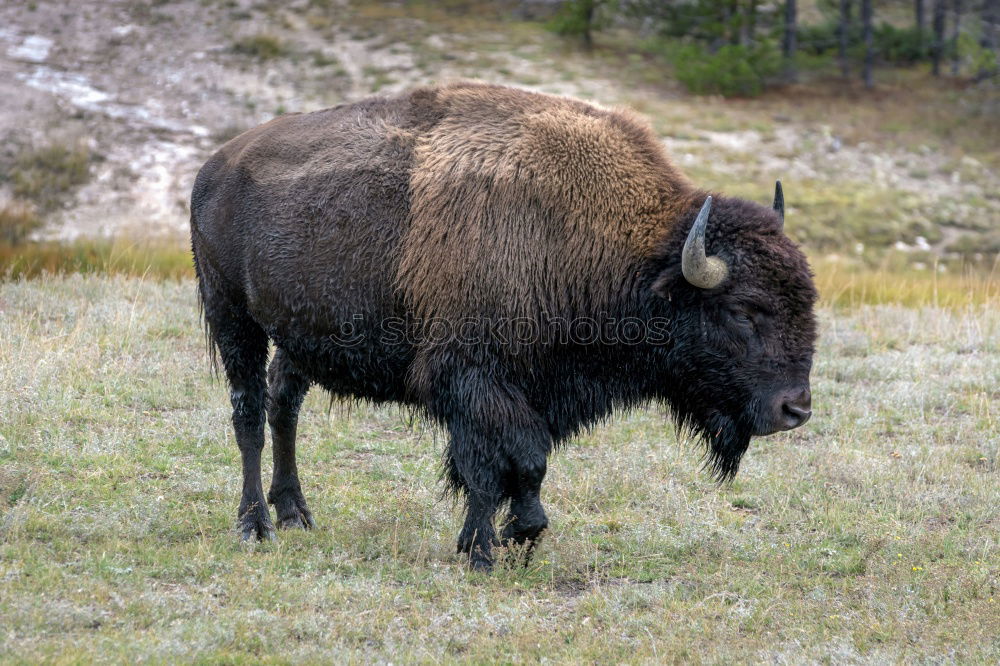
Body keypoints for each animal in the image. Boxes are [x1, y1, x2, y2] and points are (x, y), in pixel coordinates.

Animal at [191, 80, 816, 568]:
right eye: (743, 311)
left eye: (806, 299)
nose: (796, 409)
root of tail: (214, 166)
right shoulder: (474, 384)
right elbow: (502, 464)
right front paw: (491, 547)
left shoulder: (524, 391)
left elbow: (515, 467)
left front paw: (510, 537)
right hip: (232, 316)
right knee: (248, 412)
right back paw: (254, 525)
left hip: (294, 336)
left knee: (283, 405)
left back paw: (295, 513)